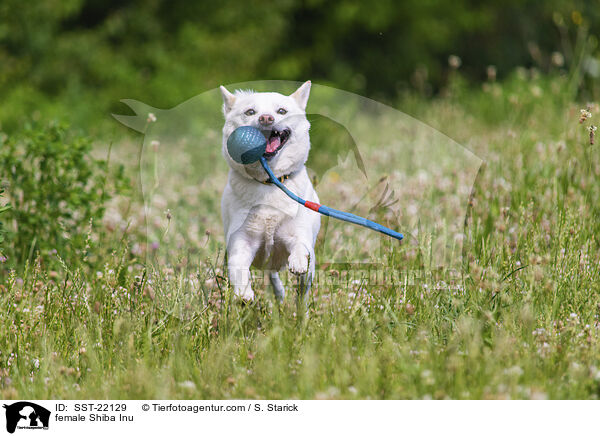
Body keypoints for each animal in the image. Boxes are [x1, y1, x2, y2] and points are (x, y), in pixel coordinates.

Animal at [220, 81, 322, 300]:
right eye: (250, 111)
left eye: (281, 111)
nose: (266, 118)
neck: (269, 182)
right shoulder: (241, 242)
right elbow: (237, 268)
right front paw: (244, 293)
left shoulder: (297, 235)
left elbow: (300, 245)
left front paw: (298, 261)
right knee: (273, 278)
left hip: (308, 277)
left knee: (302, 296)